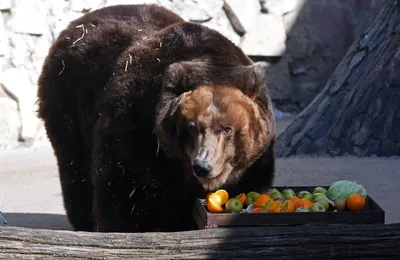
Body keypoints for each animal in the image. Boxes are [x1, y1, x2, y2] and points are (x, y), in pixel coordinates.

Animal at [36, 3, 276, 232]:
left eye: (227, 129)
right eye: (191, 127)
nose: (203, 166)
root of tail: (75, 24)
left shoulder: (253, 163)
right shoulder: (137, 130)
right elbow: (127, 195)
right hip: (68, 100)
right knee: (75, 168)